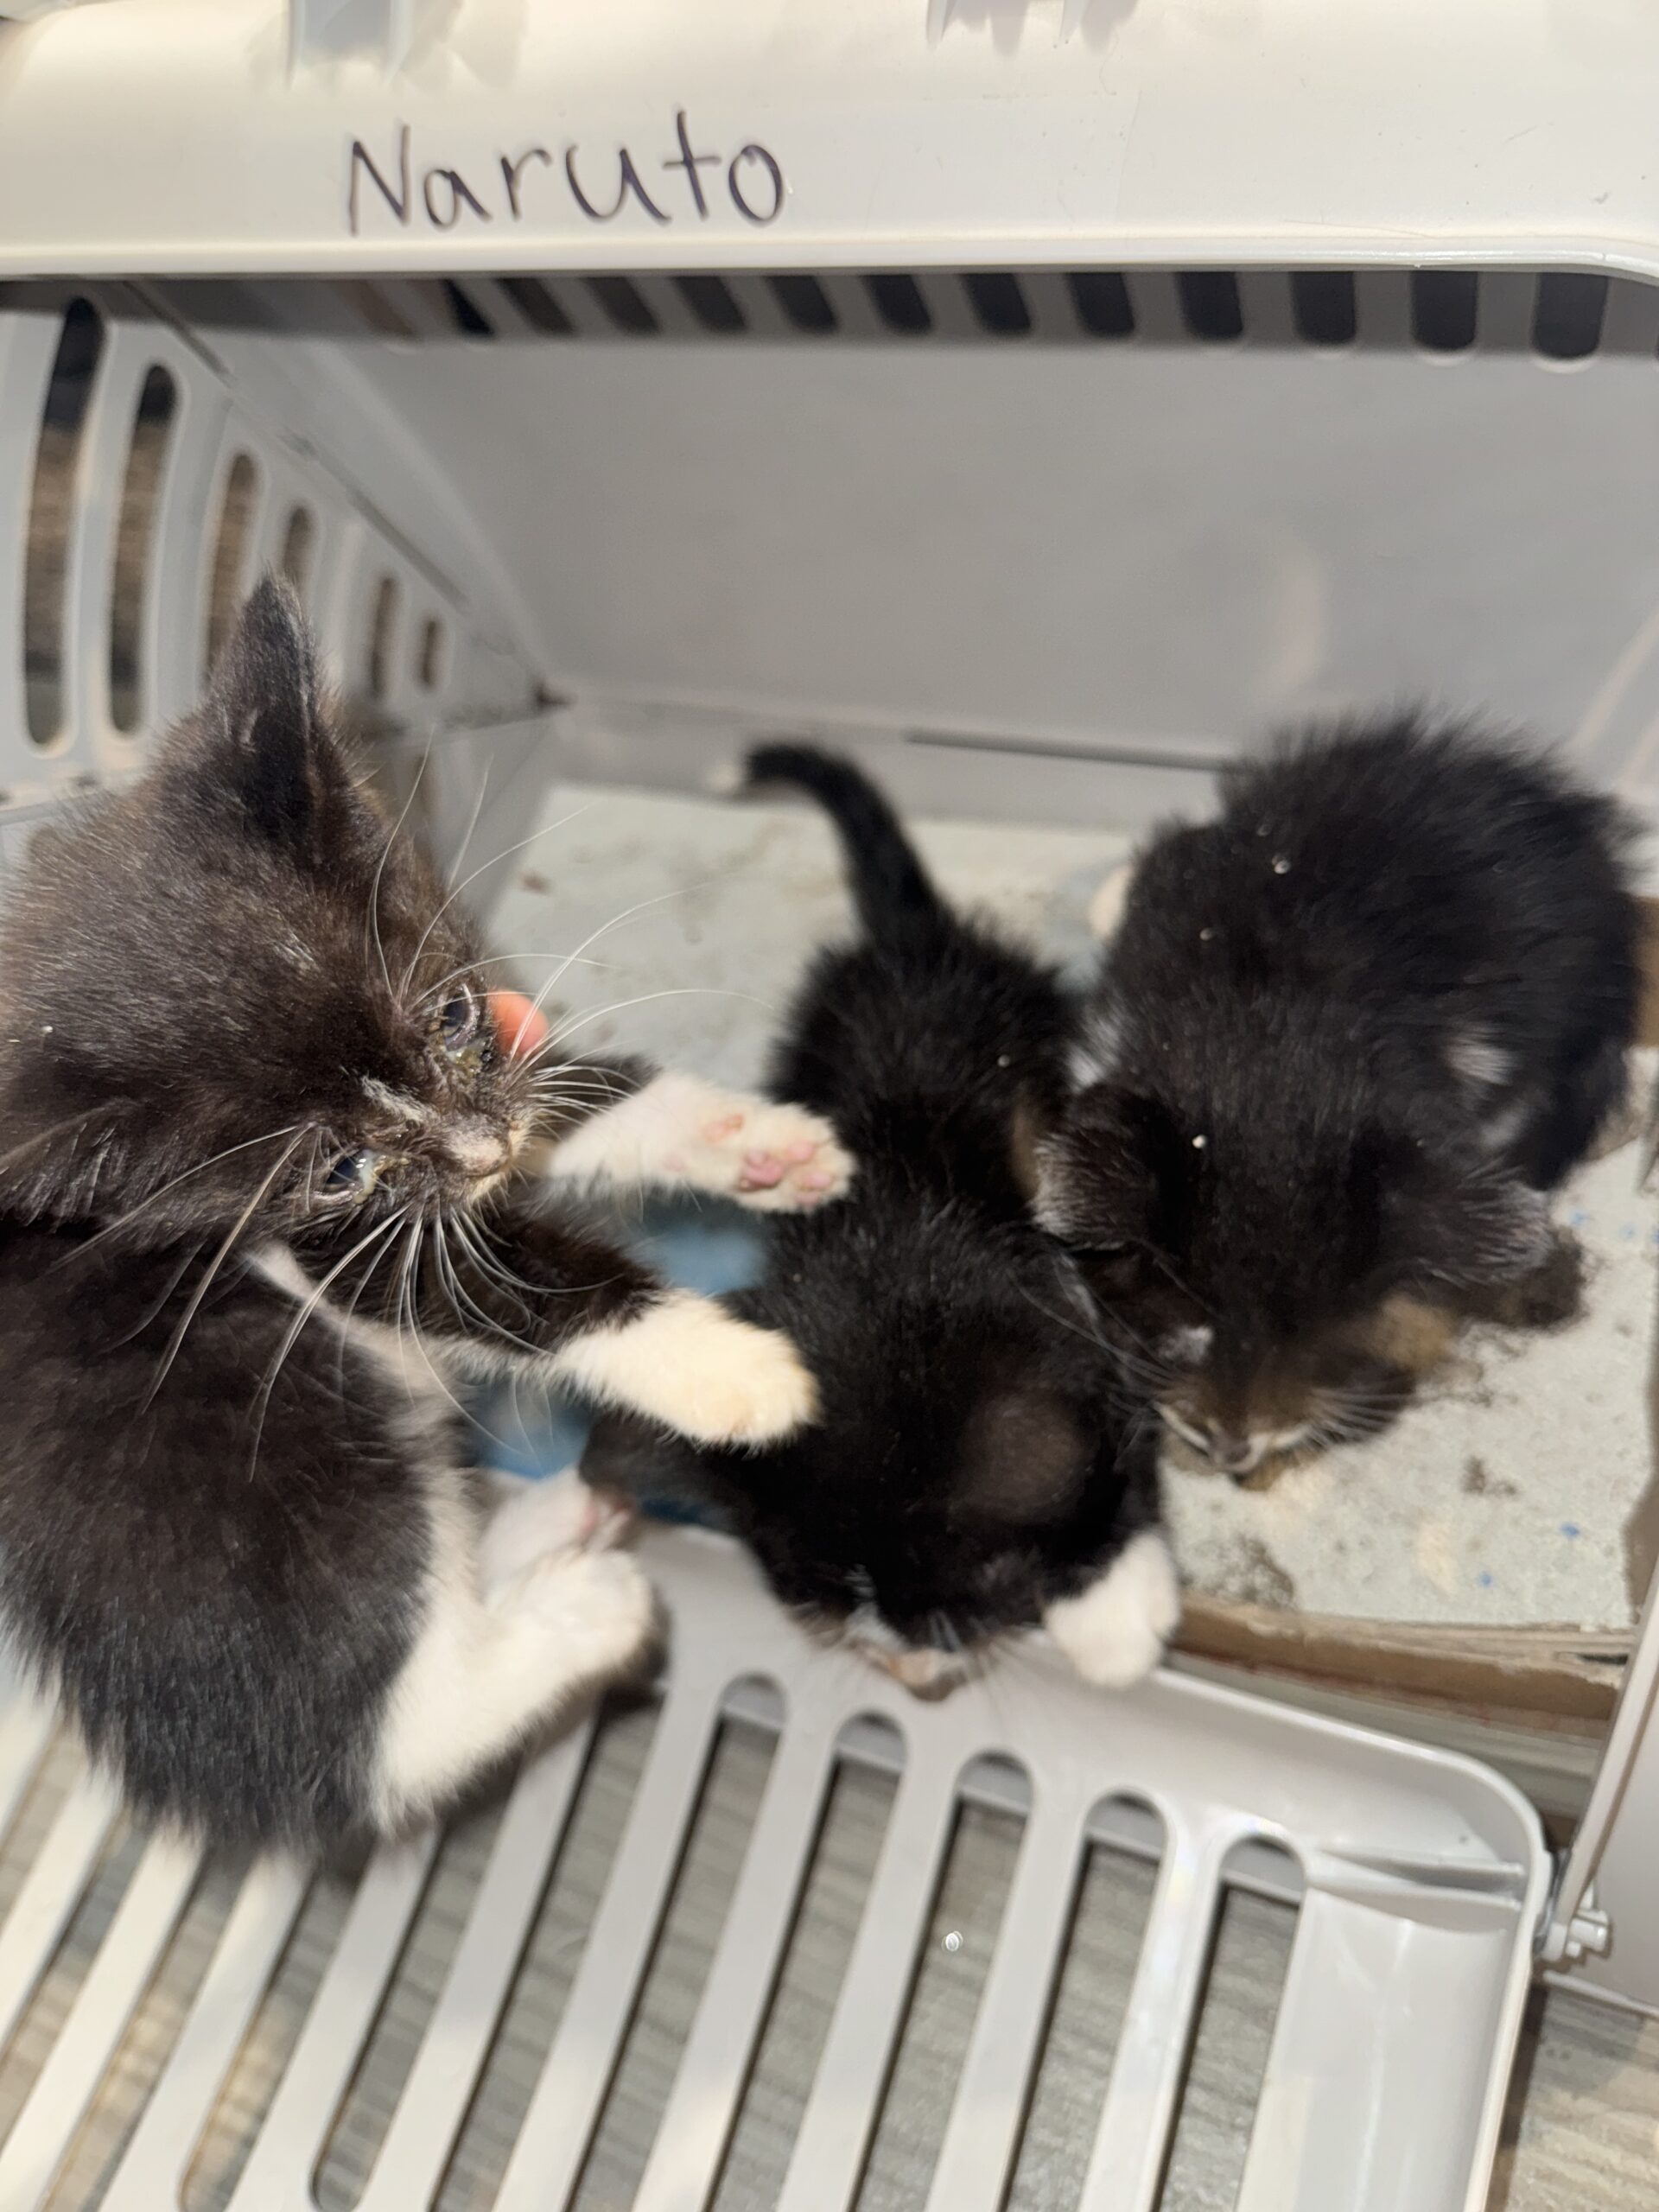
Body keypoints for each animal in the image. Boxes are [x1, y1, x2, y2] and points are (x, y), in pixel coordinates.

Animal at [0, 577, 854, 1848]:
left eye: (453, 1016)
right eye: (339, 1169)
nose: (482, 1152)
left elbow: (563, 1094)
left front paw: (753, 1140)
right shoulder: (319, 1248)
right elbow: (488, 1284)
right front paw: (737, 1373)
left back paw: (555, 1523)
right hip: (241, 1442)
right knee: (353, 1745)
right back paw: (588, 1609)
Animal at [583, 747, 1178, 1698]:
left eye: (977, 1588)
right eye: (808, 1593)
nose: (914, 1672)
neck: (895, 1236)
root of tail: (910, 942)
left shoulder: (1090, 1319)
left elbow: (1123, 1451)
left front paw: (1114, 1622)